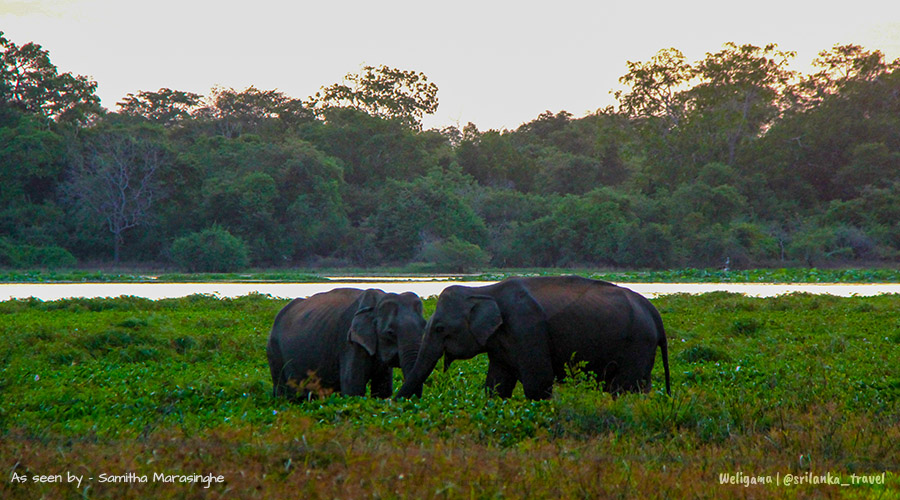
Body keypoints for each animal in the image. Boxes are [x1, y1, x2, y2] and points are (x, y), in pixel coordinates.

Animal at [266, 290, 428, 398]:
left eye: (424, 326)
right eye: (390, 332)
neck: (376, 303)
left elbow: (382, 389)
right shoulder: (349, 343)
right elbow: (353, 386)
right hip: (274, 351)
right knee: (284, 392)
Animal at [394, 276, 668, 400]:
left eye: (440, 328)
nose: (391, 405)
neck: (484, 290)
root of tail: (652, 310)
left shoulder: (527, 328)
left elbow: (538, 383)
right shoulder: (500, 343)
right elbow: (497, 385)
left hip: (638, 342)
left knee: (625, 388)